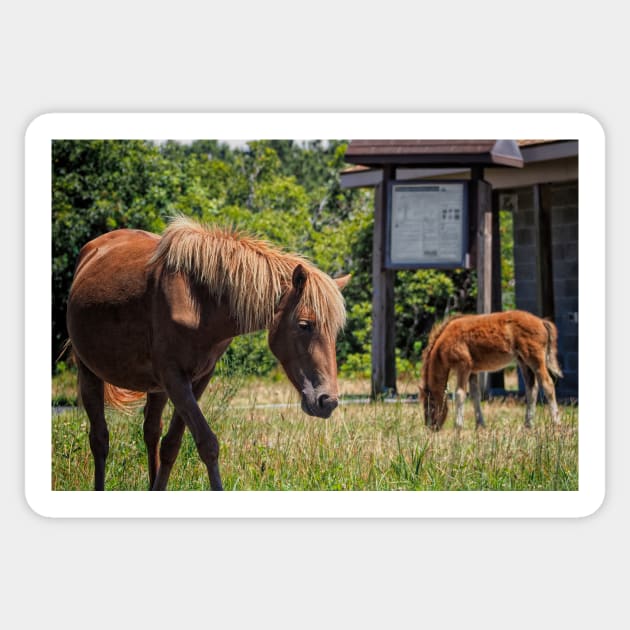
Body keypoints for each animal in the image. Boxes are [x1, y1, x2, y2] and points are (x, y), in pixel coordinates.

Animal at [67, 218, 354, 494]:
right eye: (304, 325)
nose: (327, 401)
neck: (198, 301)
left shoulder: (198, 379)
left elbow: (171, 445)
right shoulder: (175, 379)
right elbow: (207, 444)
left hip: (156, 389)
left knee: (151, 432)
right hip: (89, 374)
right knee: (100, 440)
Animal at [422, 312, 564, 432]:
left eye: (430, 405)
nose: (431, 427)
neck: (444, 340)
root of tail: (542, 321)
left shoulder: (463, 366)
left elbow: (459, 394)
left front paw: (458, 427)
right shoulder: (472, 371)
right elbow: (475, 395)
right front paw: (480, 425)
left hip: (535, 360)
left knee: (547, 384)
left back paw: (556, 423)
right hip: (523, 362)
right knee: (531, 388)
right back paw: (528, 425)